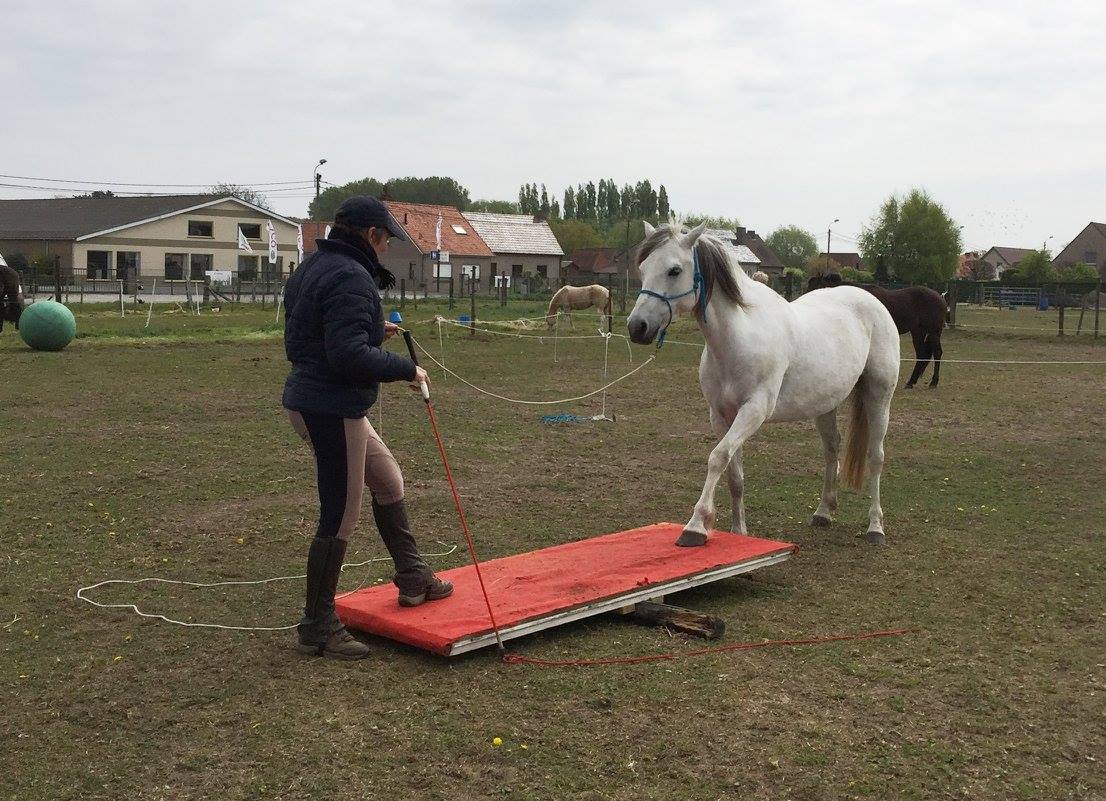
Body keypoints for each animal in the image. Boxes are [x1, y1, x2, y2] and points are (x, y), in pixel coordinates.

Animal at [628, 222, 900, 546]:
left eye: (674, 270)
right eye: (643, 268)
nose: (637, 327)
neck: (739, 337)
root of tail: (872, 300)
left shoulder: (754, 410)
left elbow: (717, 457)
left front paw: (695, 526)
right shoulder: (721, 415)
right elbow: (734, 474)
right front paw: (738, 532)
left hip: (879, 395)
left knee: (875, 456)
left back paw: (875, 528)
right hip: (824, 404)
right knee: (831, 449)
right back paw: (823, 512)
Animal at [808, 273, 947, 389]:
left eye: (816, 288)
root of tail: (940, 297)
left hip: (933, 332)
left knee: (937, 353)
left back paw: (933, 382)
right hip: (918, 331)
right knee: (922, 354)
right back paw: (911, 382)